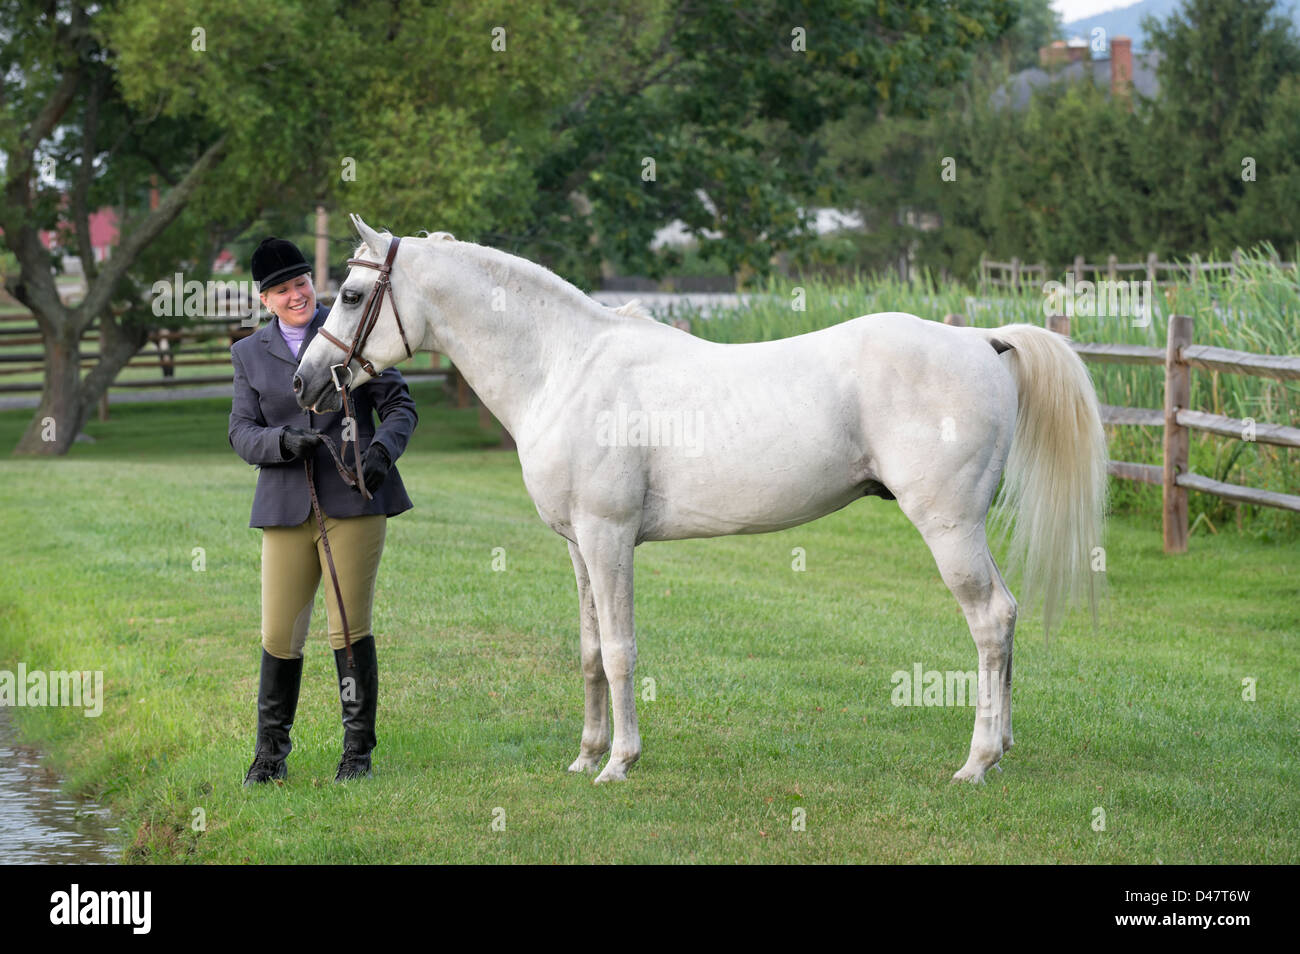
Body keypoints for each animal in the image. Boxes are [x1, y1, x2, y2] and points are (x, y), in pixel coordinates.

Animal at [297, 214, 1107, 785]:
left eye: (353, 295)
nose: (307, 383)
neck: (566, 365)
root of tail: (983, 341)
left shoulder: (609, 538)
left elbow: (620, 650)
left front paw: (619, 763)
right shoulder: (577, 546)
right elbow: (589, 651)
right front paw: (585, 755)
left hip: (949, 528)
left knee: (991, 619)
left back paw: (977, 761)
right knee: (1004, 618)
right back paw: (1001, 749)